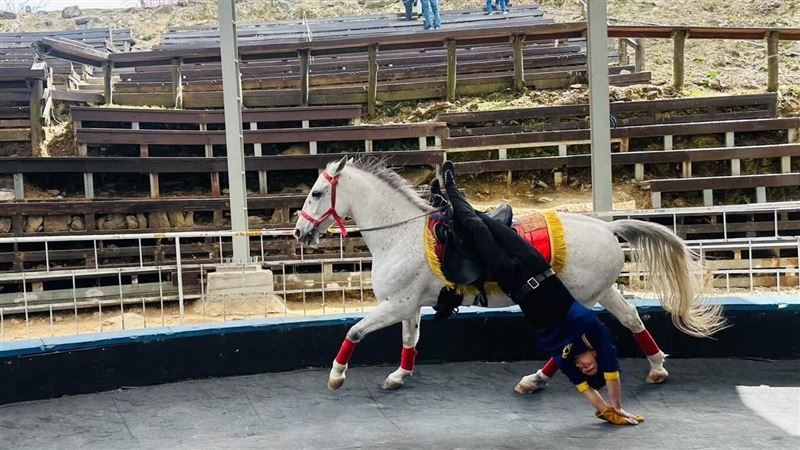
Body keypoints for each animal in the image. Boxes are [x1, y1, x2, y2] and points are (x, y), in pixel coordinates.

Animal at [293, 157, 725, 392]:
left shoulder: (396, 304)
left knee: (571, 341)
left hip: (575, 298)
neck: (400, 233)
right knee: (632, 319)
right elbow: (410, 341)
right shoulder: (408, 306)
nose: (299, 233)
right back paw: (657, 367)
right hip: (601, 292)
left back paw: (534, 380)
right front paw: (399, 375)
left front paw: (336, 376)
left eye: (316, 193)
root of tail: (608, 228)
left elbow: (354, 331)